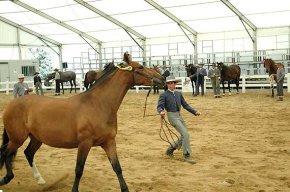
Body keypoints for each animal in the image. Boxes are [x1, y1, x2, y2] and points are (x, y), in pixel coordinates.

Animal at [0, 54, 164, 191]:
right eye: (140, 67)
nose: (162, 80)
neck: (98, 105)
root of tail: (12, 104)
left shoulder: (109, 142)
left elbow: (117, 168)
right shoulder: (85, 143)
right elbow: (79, 169)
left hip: (36, 138)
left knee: (28, 153)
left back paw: (40, 180)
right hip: (17, 138)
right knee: (6, 153)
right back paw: (6, 179)